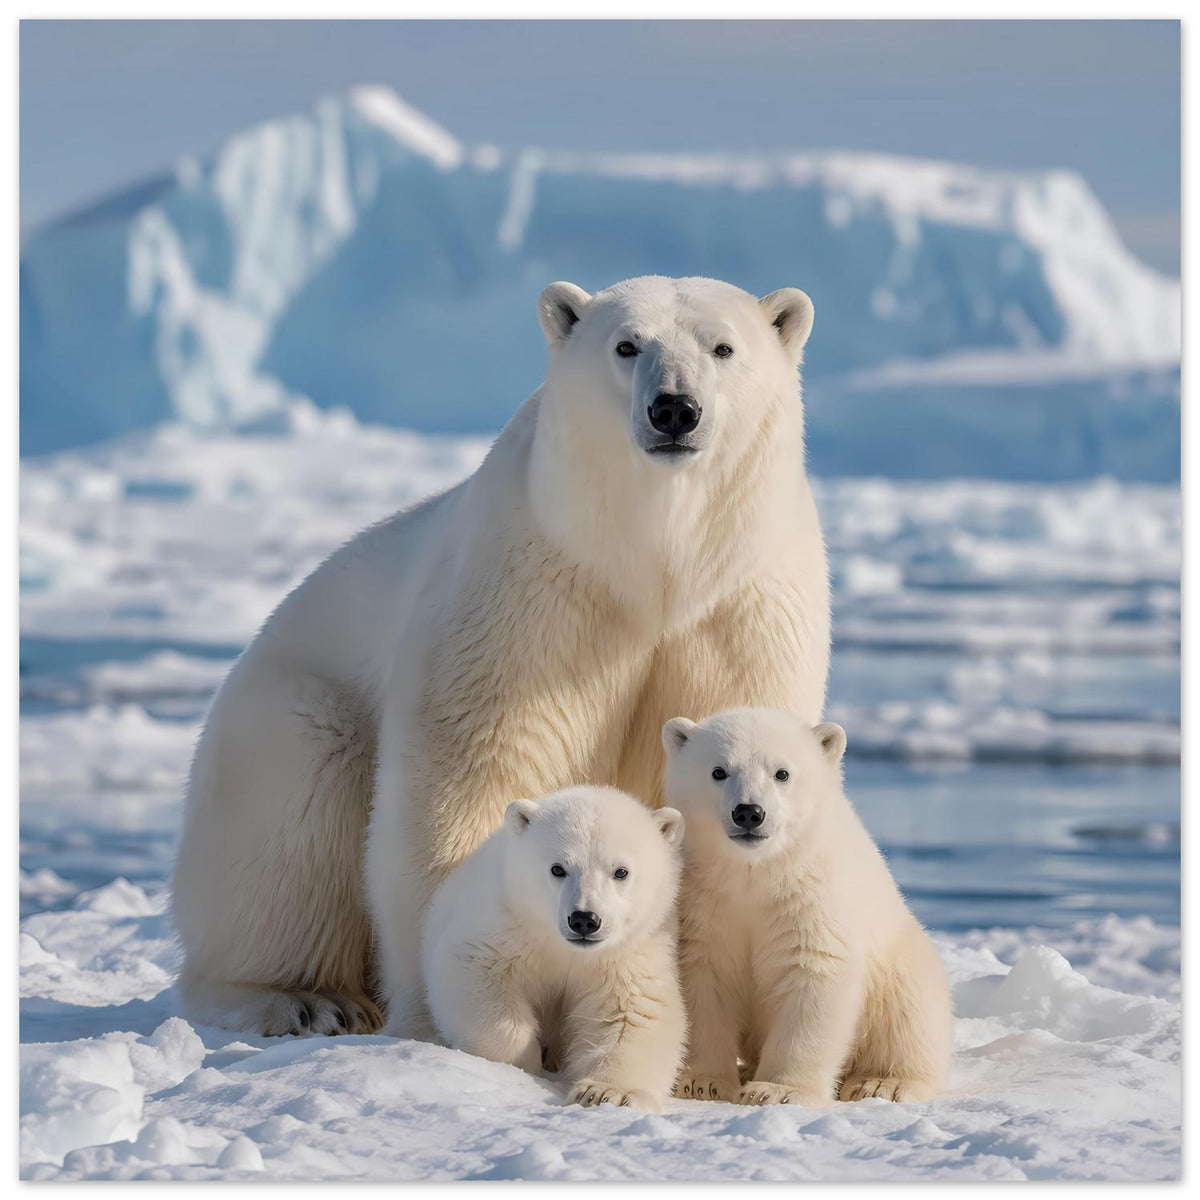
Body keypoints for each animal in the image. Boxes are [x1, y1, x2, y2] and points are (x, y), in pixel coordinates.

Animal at [171, 275, 831, 1039]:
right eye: (626, 344)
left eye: (722, 347)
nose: (674, 409)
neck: (653, 565)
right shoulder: (531, 595)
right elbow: (476, 765)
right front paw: (448, 1010)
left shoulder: (740, 611)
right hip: (278, 718)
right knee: (295, 814)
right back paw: (305, 998)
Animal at [420, 785, 687, 1111]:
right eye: (558, 868)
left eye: (621, 871)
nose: (584, 920)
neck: (564, 949)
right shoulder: (504, 926)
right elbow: (476, 974)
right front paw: (522, 1064)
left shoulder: (627, 955)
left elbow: (634, 1013)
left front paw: (603, 1093)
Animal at [661, 708, 953, 1107]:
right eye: (718, 771)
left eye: (782, 773)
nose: (749, 812)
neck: (756, 873)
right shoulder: (703, 903)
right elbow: (703, 980)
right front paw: (703, 1082)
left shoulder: (813, 897)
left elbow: (813, 973)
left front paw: (778, 1090)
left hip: (901, 961)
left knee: (909, 1011)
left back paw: (883, 1082)